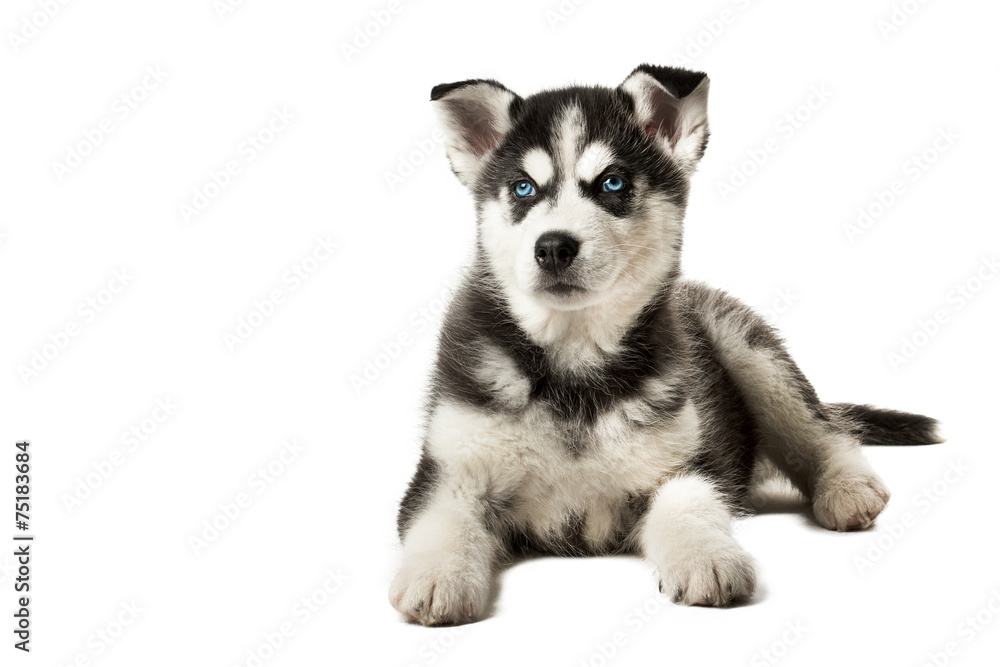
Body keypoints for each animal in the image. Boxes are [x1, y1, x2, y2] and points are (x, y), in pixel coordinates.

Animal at [388, 65, 936, 624]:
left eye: (613, 182)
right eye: (523, 188)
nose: (554, 246)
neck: (574, 363)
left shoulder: (684, 464)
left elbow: (690, 507)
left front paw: (707, 558)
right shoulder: (447, 472)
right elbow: (442, 521)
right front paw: (437, 576)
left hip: (748, 349)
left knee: (822, 430)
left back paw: (848, 488)